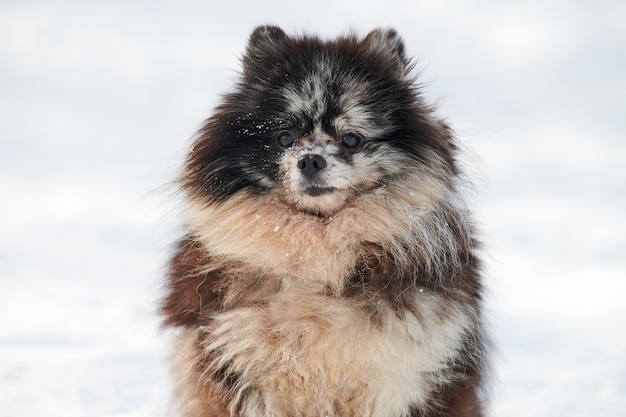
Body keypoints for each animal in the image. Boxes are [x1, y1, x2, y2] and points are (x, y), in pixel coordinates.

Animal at [161, 26, 488, 416]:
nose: (310, 160)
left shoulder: (399, 373)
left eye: (351, 139)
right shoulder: (237, 360)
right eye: (284, 137)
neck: (316, 250)